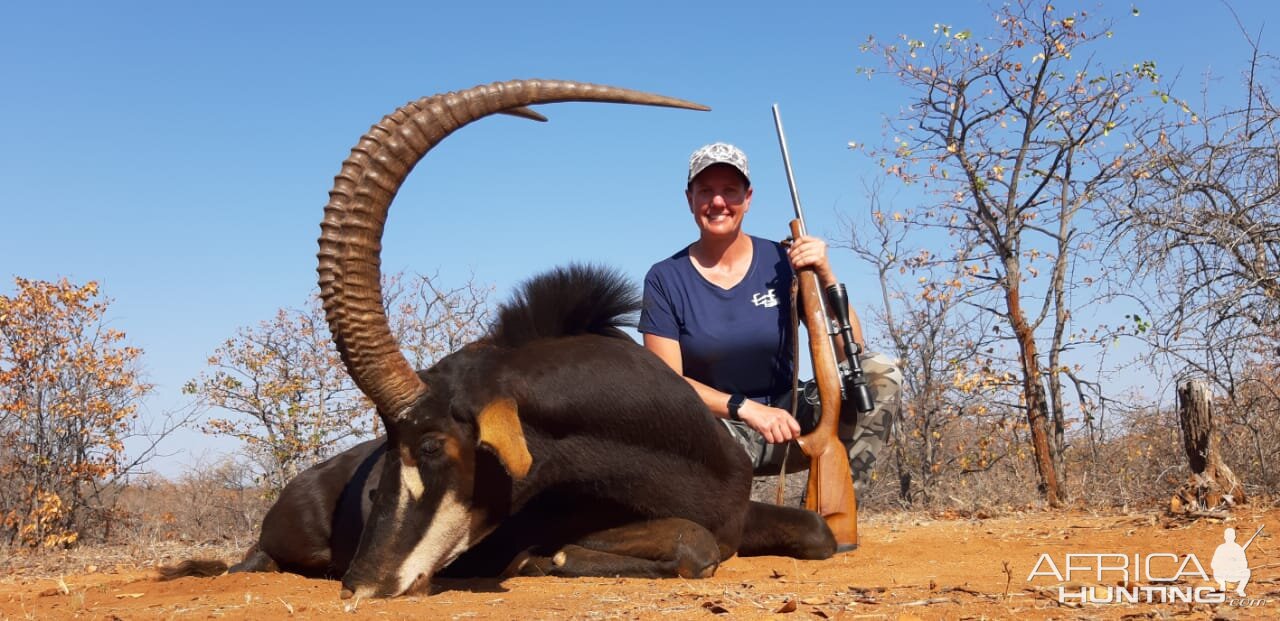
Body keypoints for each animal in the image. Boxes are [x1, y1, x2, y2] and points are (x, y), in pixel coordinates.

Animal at [160, 78, 834, 596]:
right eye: (389, 448)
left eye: (430, 445)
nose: (365, 583)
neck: (680, 451)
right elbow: (692, 542)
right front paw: (548, 560)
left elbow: (818, 532)